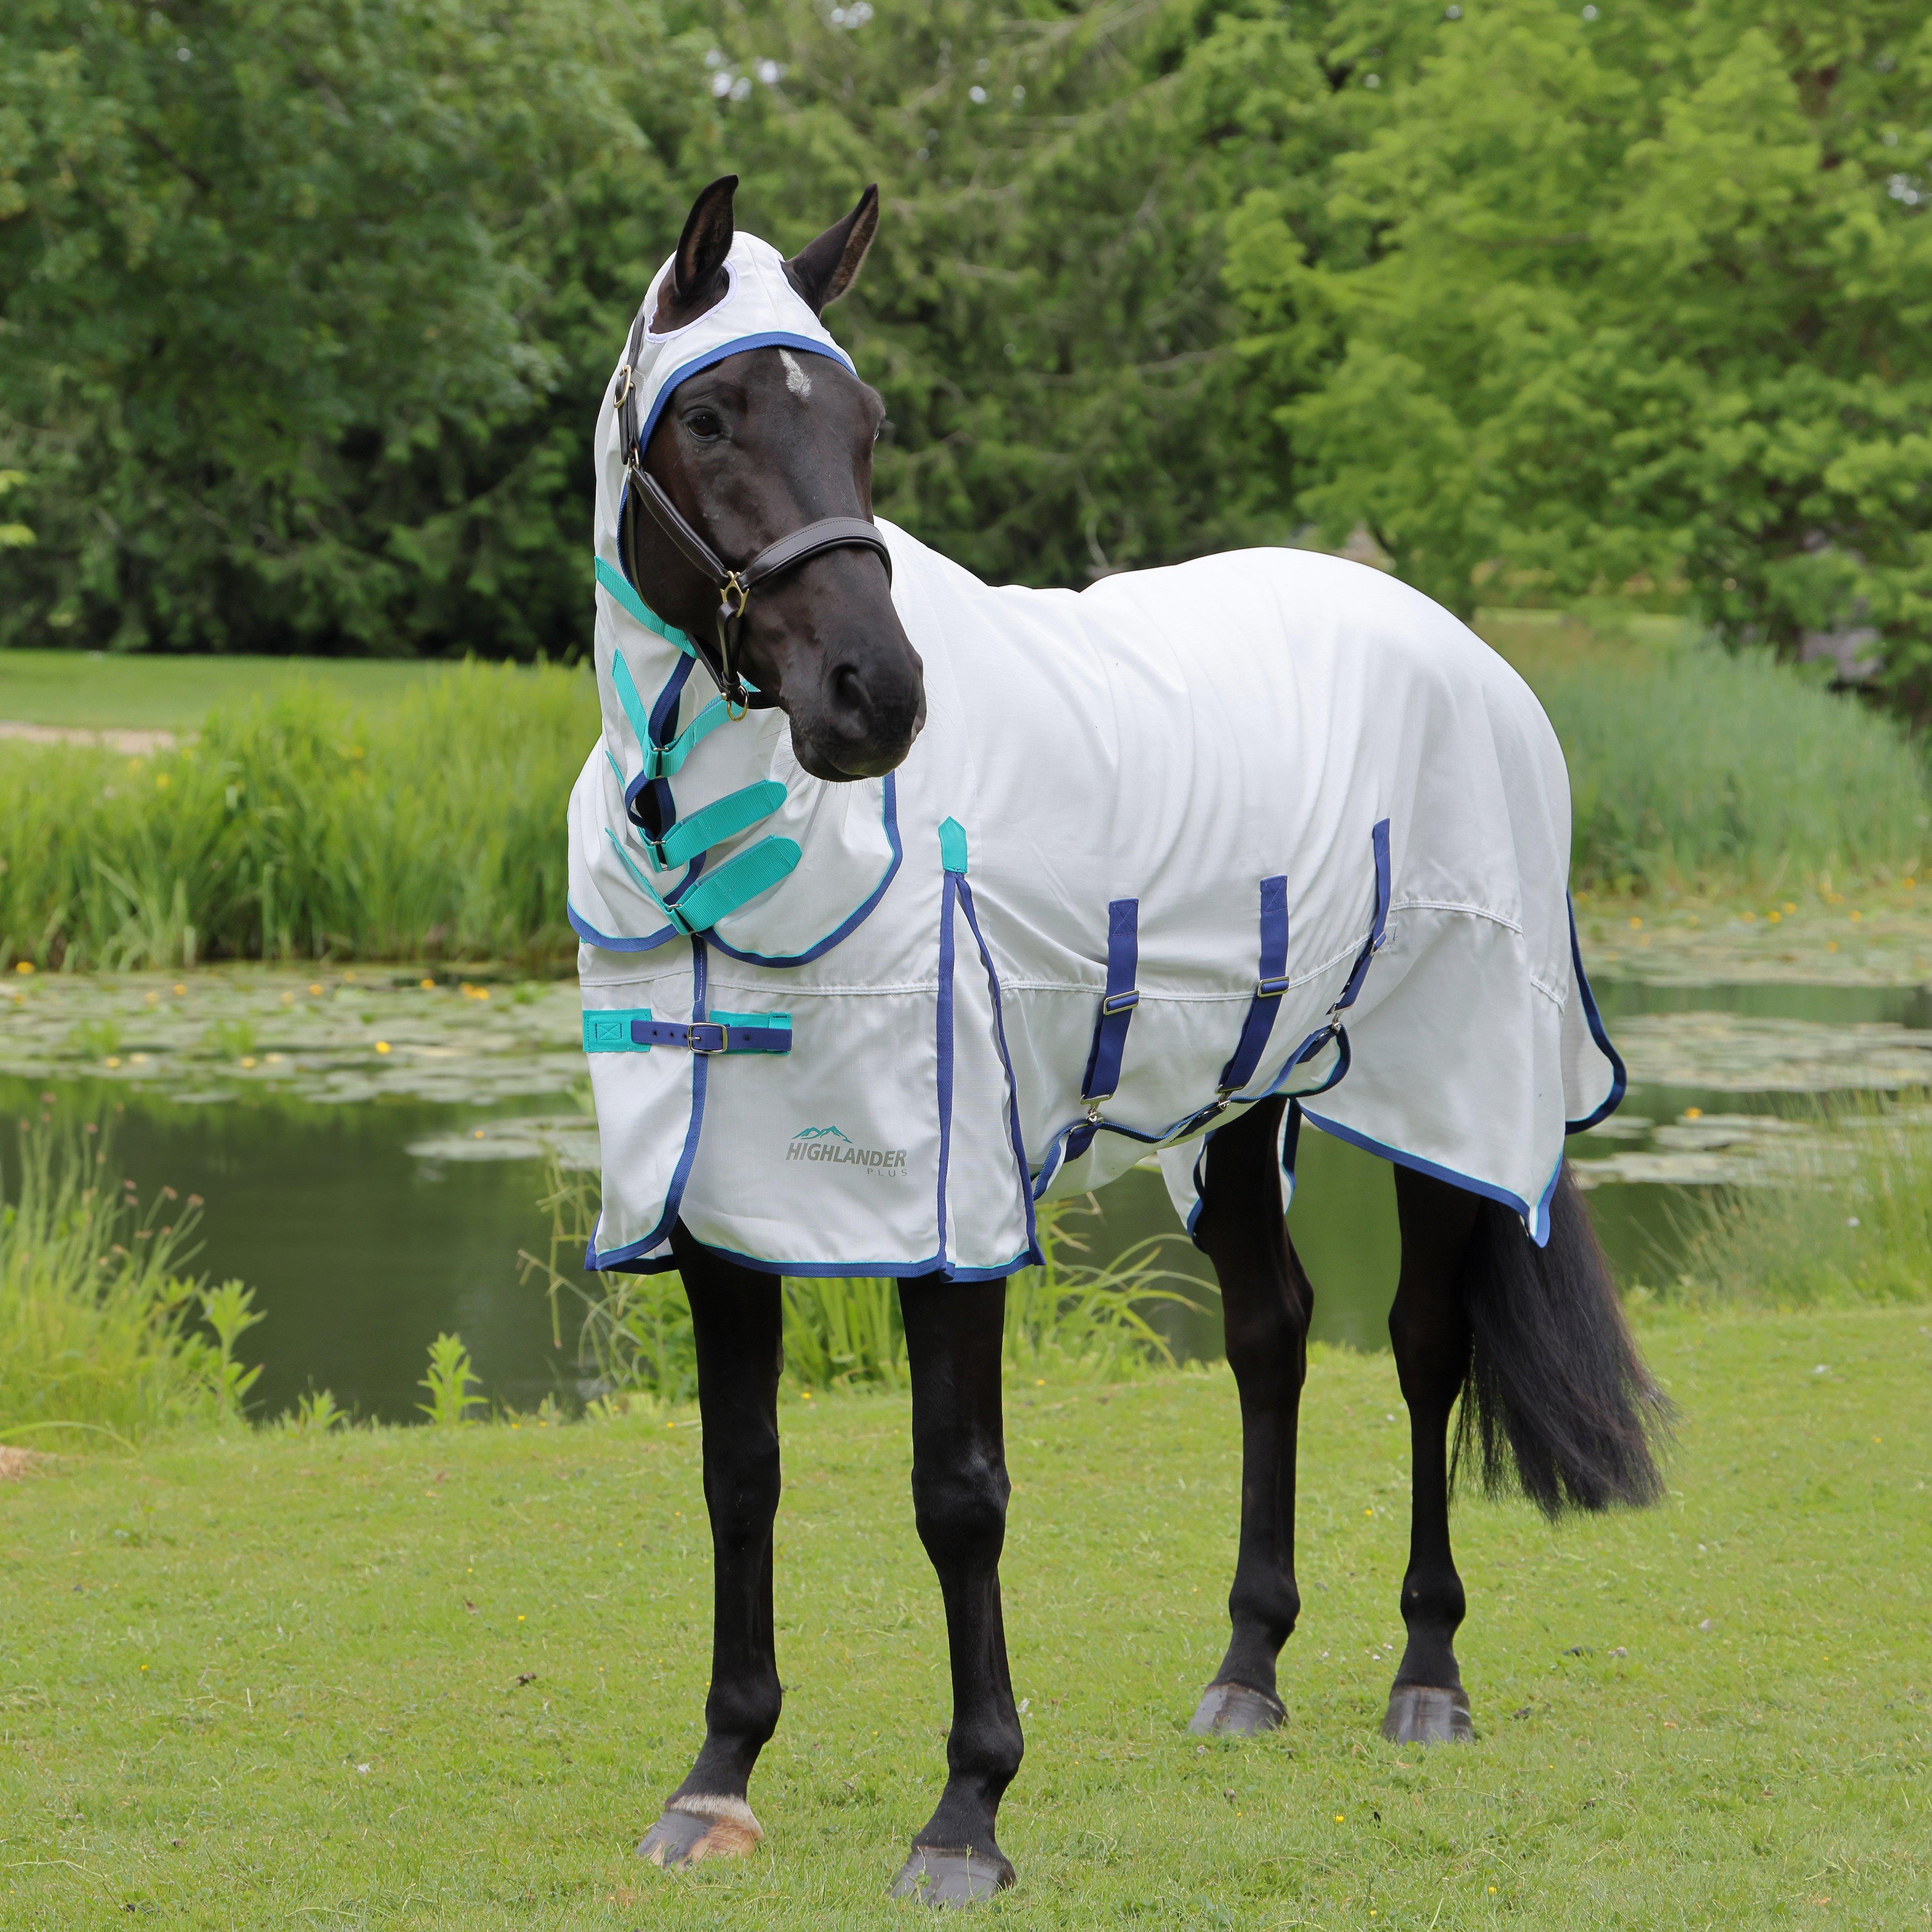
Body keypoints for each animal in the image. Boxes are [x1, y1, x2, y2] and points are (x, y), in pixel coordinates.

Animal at [622, 178, 1677, 1901]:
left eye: (865, 423)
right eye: (706, 416)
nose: (874, 696)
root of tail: (1465, 648)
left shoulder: (949, 1203)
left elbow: (958, 1493)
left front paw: (968, 1812)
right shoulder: (722, 1203)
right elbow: (737, 1476)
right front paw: (715, 1779)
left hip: (1441, 1093)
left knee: (1422, 1348)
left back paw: (1427, 1678)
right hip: (1242, 1097)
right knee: (1273, 1333)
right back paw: (1247, 1671)